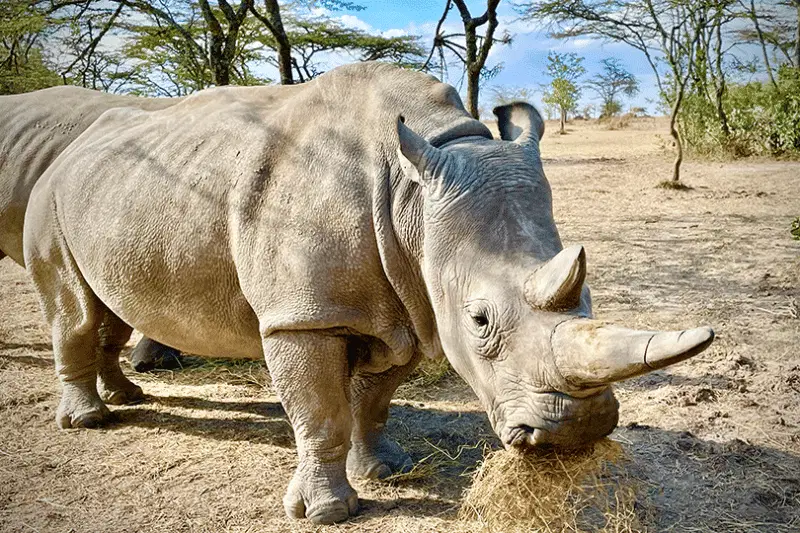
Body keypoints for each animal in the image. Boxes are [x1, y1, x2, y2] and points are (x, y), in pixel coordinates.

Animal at [22, 63, 714, 524]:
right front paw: (328, 512)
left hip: (114, 197)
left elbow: (373, 397)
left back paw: (126, 397)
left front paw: (385, 469)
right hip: (48, 192)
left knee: (106, 304)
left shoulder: (412, 301)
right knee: (74, 310)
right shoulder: (302, 315)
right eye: (479, 320)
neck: (414, 197)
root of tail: (76, 143)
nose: (576, 434)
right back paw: (90, 422)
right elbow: (320, 409)